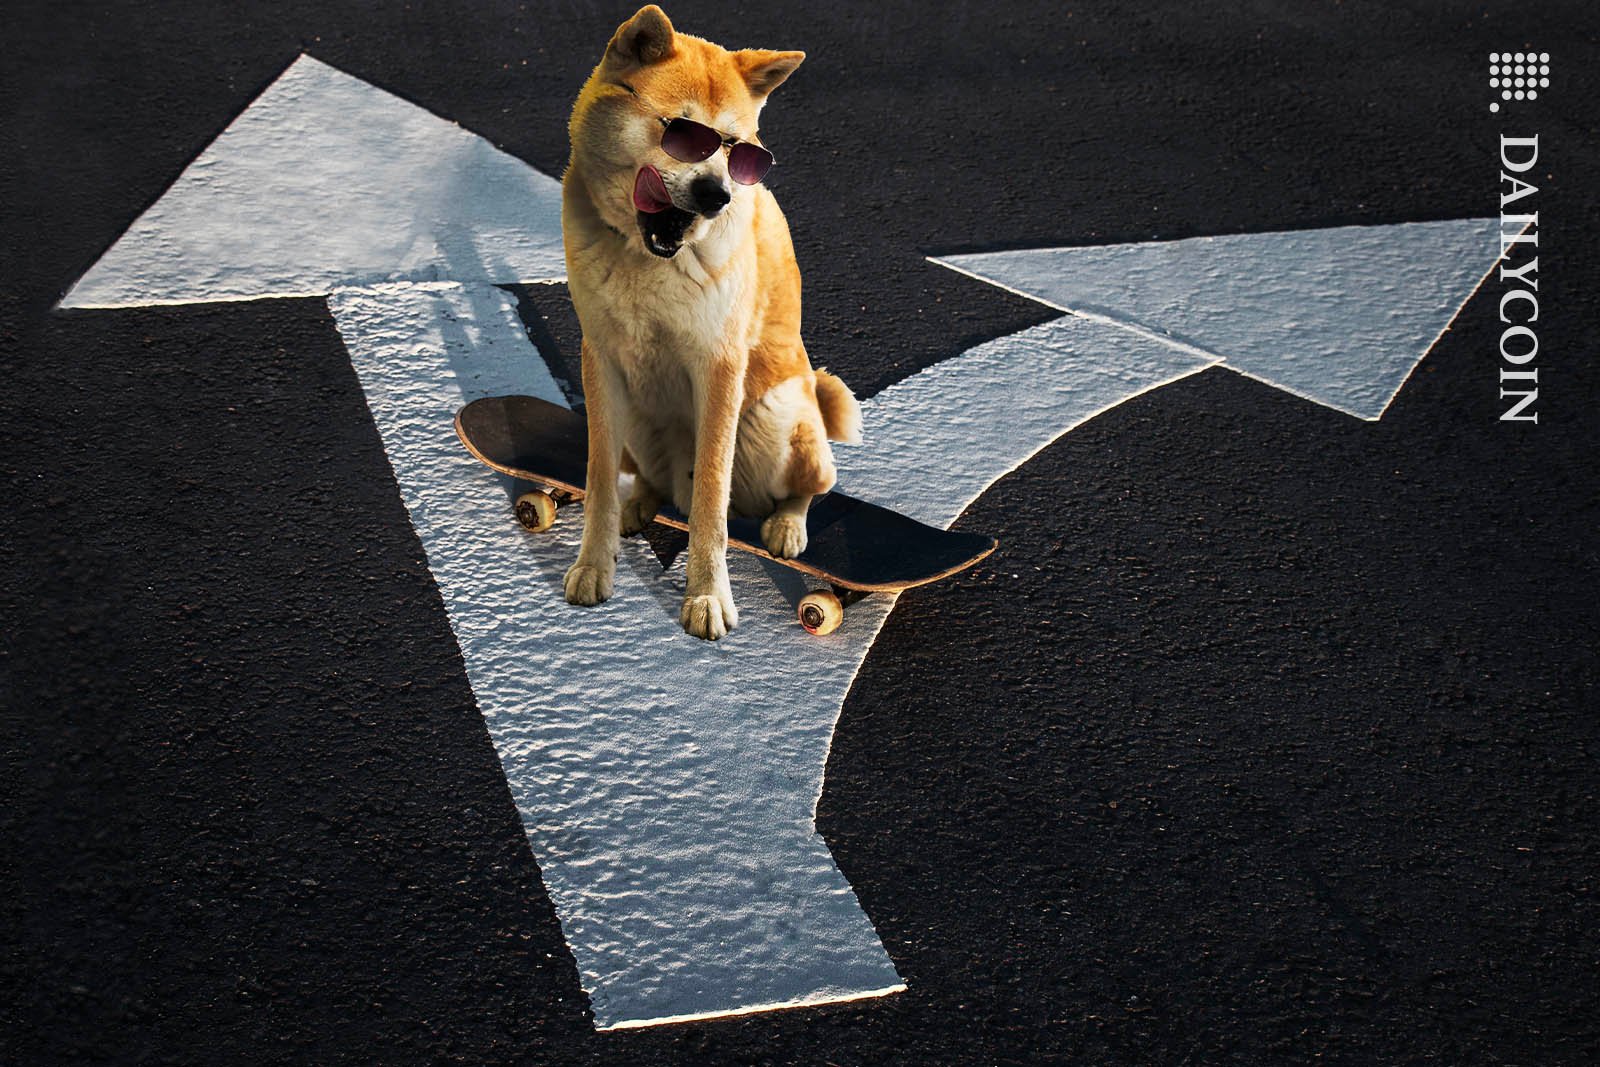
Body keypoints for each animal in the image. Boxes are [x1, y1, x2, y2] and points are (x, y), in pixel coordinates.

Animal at [563, 6, 864, 643]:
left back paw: (786, 526)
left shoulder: (720, 365)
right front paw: (594, 565)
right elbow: (598, 478)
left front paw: (707, 596)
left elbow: (710, 498)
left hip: (778, 412)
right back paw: (641, 503)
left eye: (738, 149)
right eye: (683, 132)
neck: (646, 258)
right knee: (647, 479)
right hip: (640, 419)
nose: (716, 193)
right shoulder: (600, 357)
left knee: (811, 485)